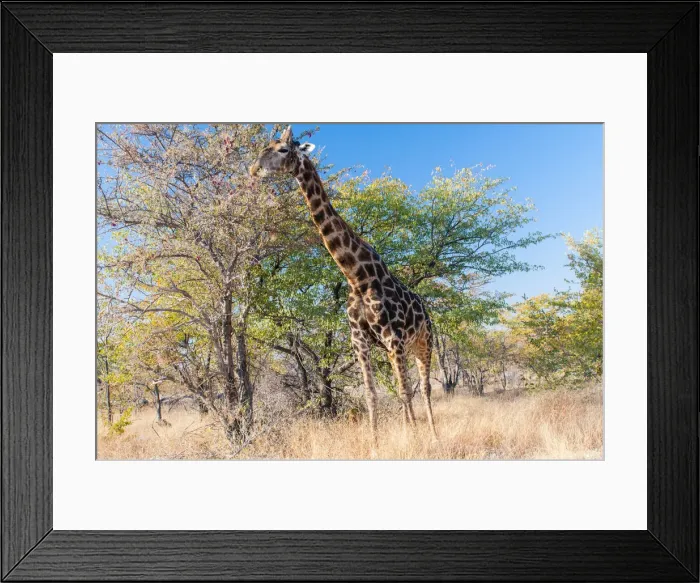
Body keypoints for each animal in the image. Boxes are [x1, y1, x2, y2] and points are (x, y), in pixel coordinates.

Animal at [250, 126, 438, 451]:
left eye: (283, 150)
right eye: (265, 146)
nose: (253, 169)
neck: (357, 277)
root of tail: (426, 310)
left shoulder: (393, 338)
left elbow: (405, 391)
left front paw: (414, 441)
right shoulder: (360, 341)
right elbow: (372, 395)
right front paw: (376, 444)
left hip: (424, 343)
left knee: (424, 388)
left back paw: (434, 436)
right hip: (402, 347)